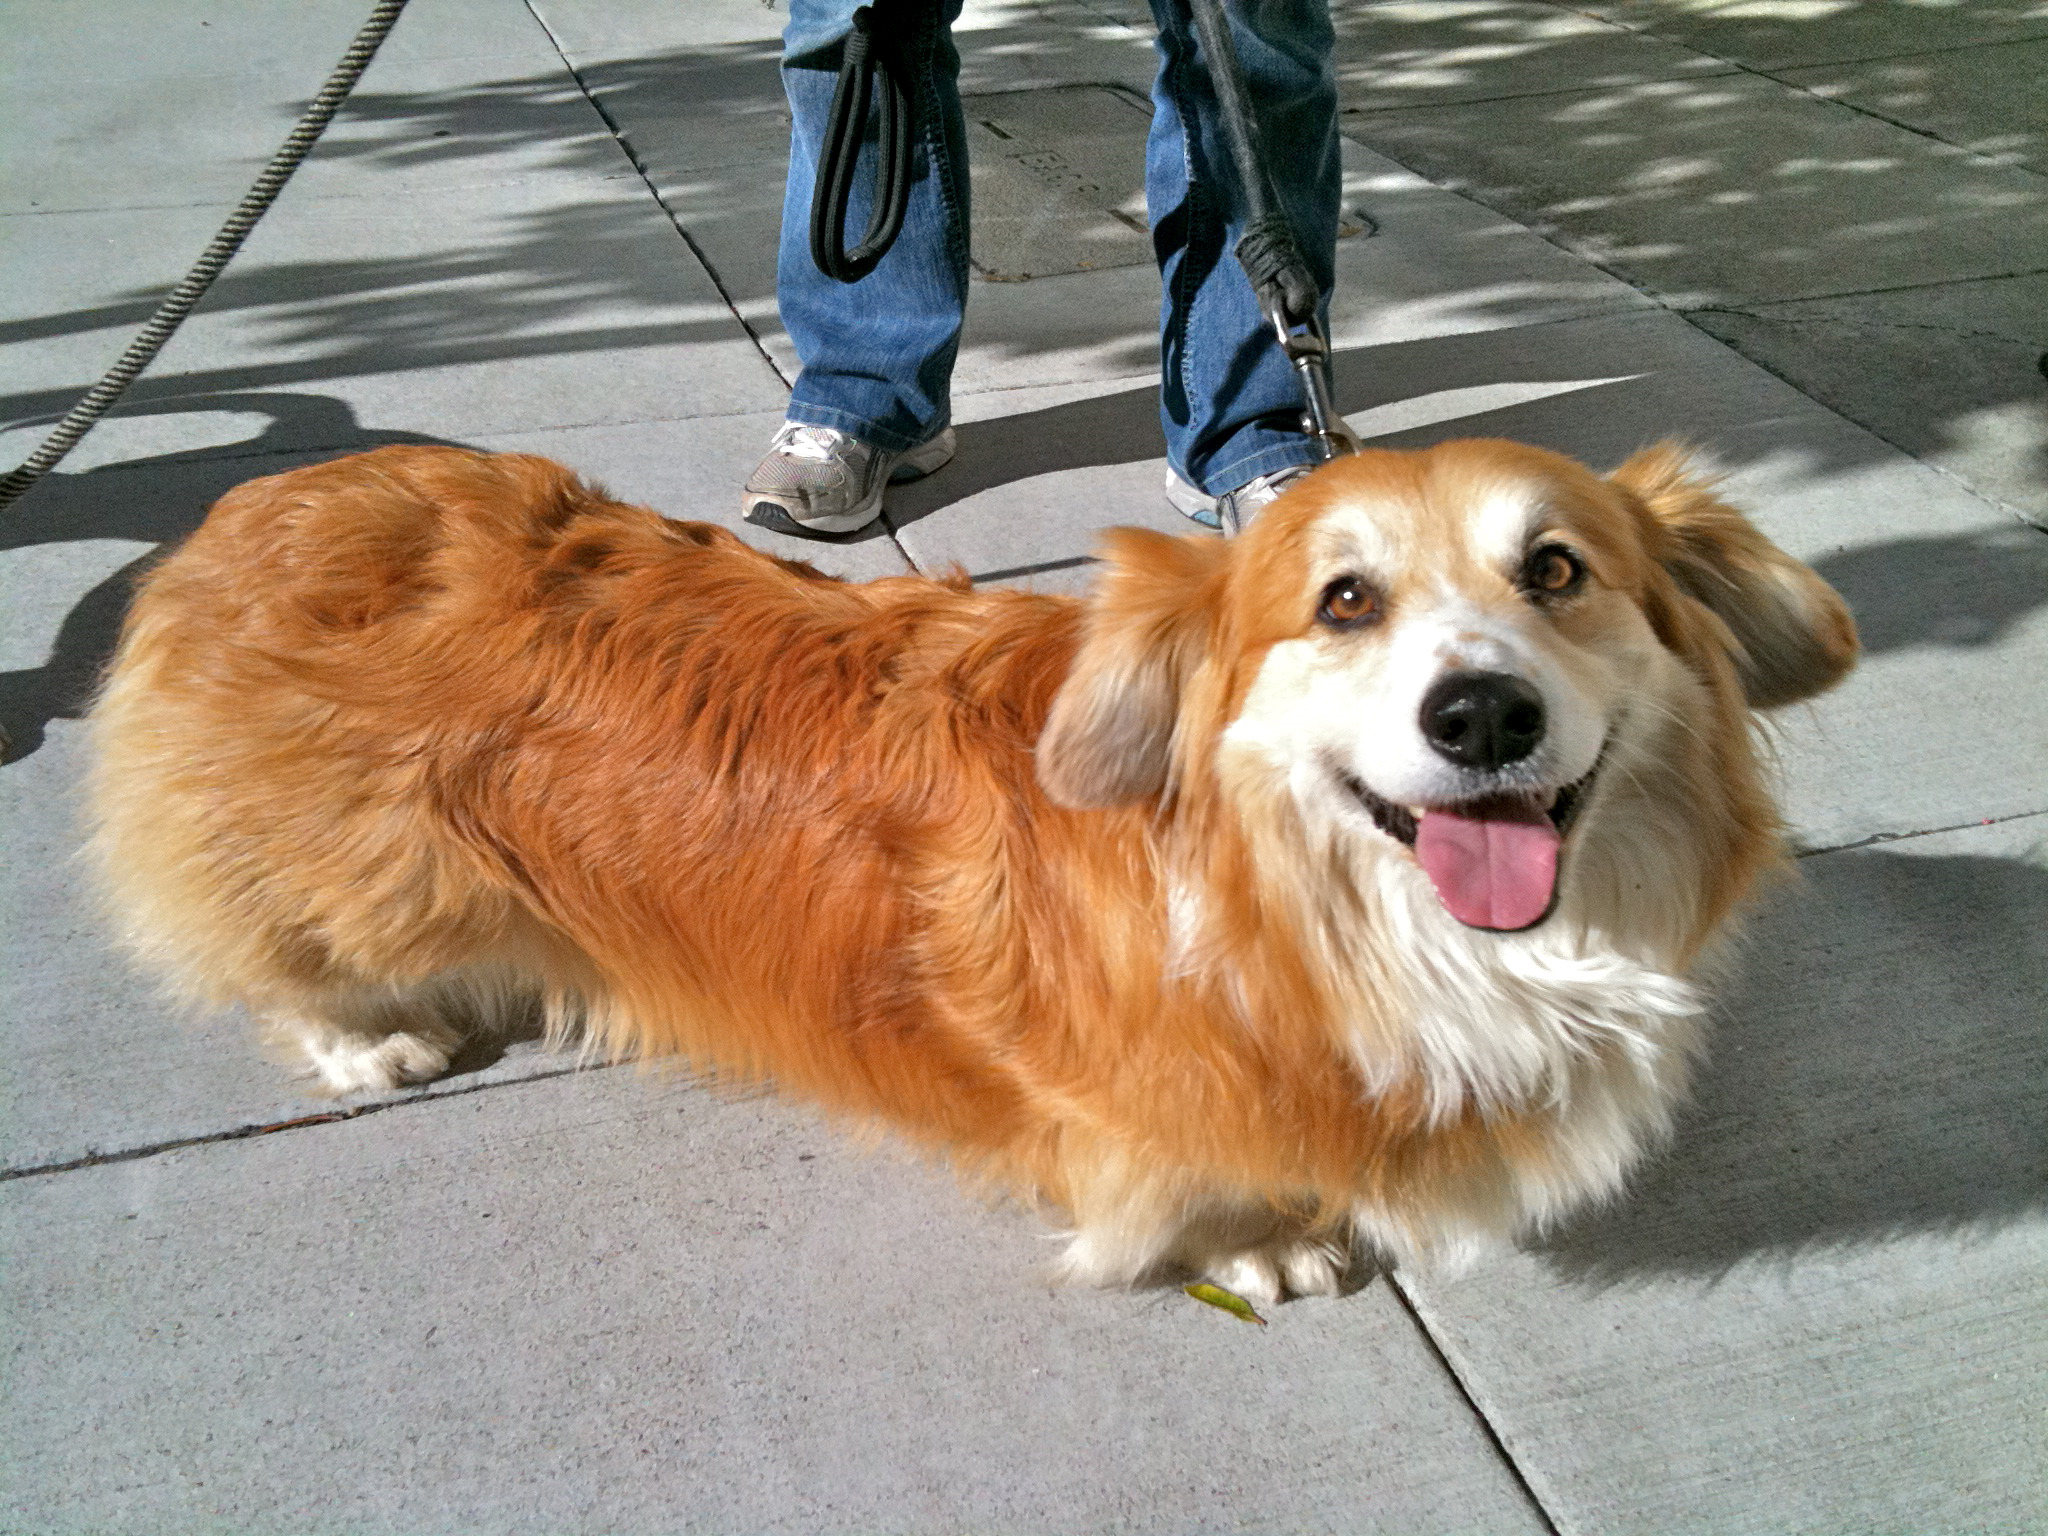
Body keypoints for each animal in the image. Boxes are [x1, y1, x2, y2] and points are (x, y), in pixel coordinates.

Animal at [88, 442, 1859, 1302]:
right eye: (1343, 601)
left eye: (1557, 571)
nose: (1482, 713)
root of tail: (252, 509)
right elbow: (1195, 1187)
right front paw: (1266, 1245)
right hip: (361, 873)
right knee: (273, 952)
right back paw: (365, 1035)